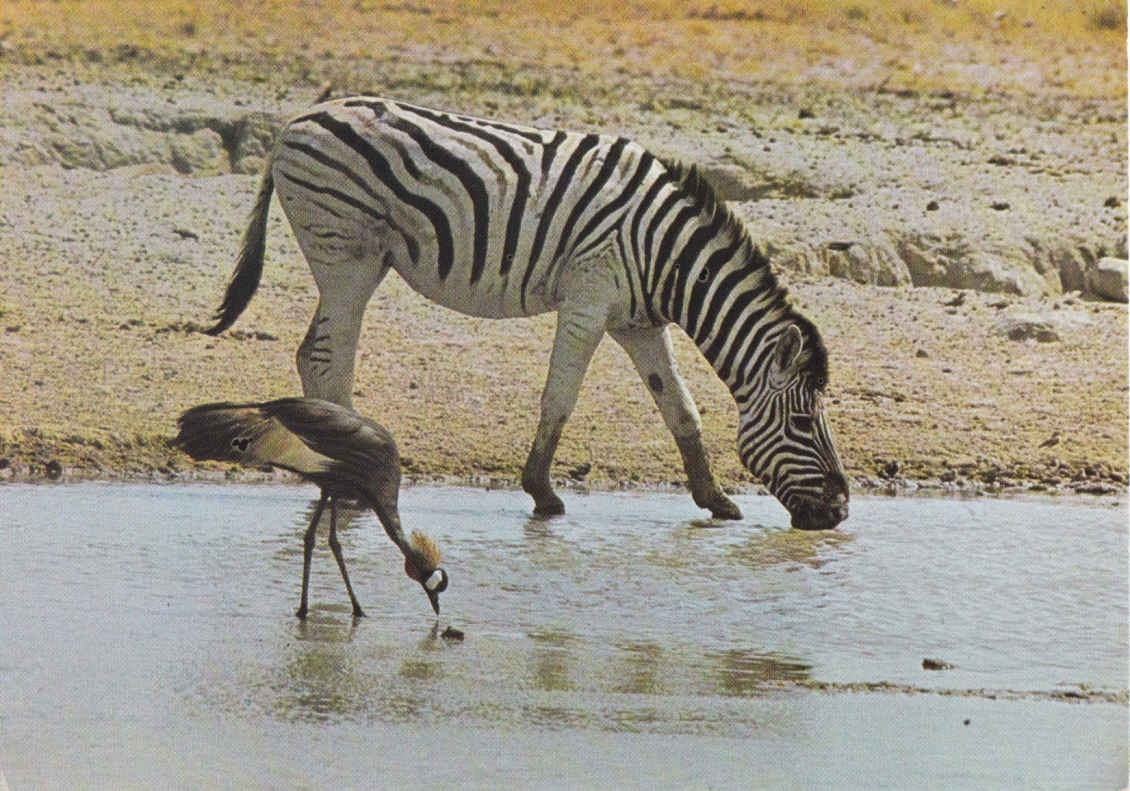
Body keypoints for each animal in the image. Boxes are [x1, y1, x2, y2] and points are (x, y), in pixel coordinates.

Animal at [207, 97, 849, 531]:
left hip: (350, 259)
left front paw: (715, 500)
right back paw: (352, 471)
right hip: (347, 256)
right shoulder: (589, 302)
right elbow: (559, 398)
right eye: (801, 424)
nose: (841, 512)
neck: (665, 253)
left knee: (313, 352)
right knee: (326, 355)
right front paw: (542, 493)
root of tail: (298, 119)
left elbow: (680, 409)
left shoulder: (639, 324)